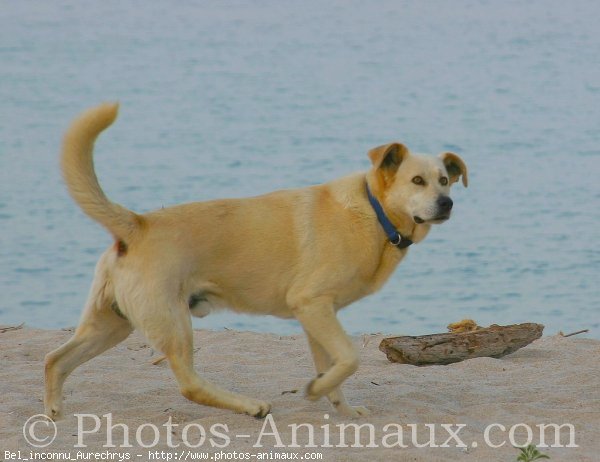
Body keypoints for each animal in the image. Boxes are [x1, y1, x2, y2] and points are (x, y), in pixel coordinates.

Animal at [45, 104, 468, 418]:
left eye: (445, 179)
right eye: (417, 181)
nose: (447, 203)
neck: (374, 212)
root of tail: (137, 224)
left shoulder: (317, 314)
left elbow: (332, 367)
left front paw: (339, 406)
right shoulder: (312, 304)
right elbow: (350, 358)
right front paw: (317, 389)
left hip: (111, 325)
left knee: (55, 360)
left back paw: (53, 416)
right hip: (171, 322)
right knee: (189, 384)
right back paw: (250, 407)